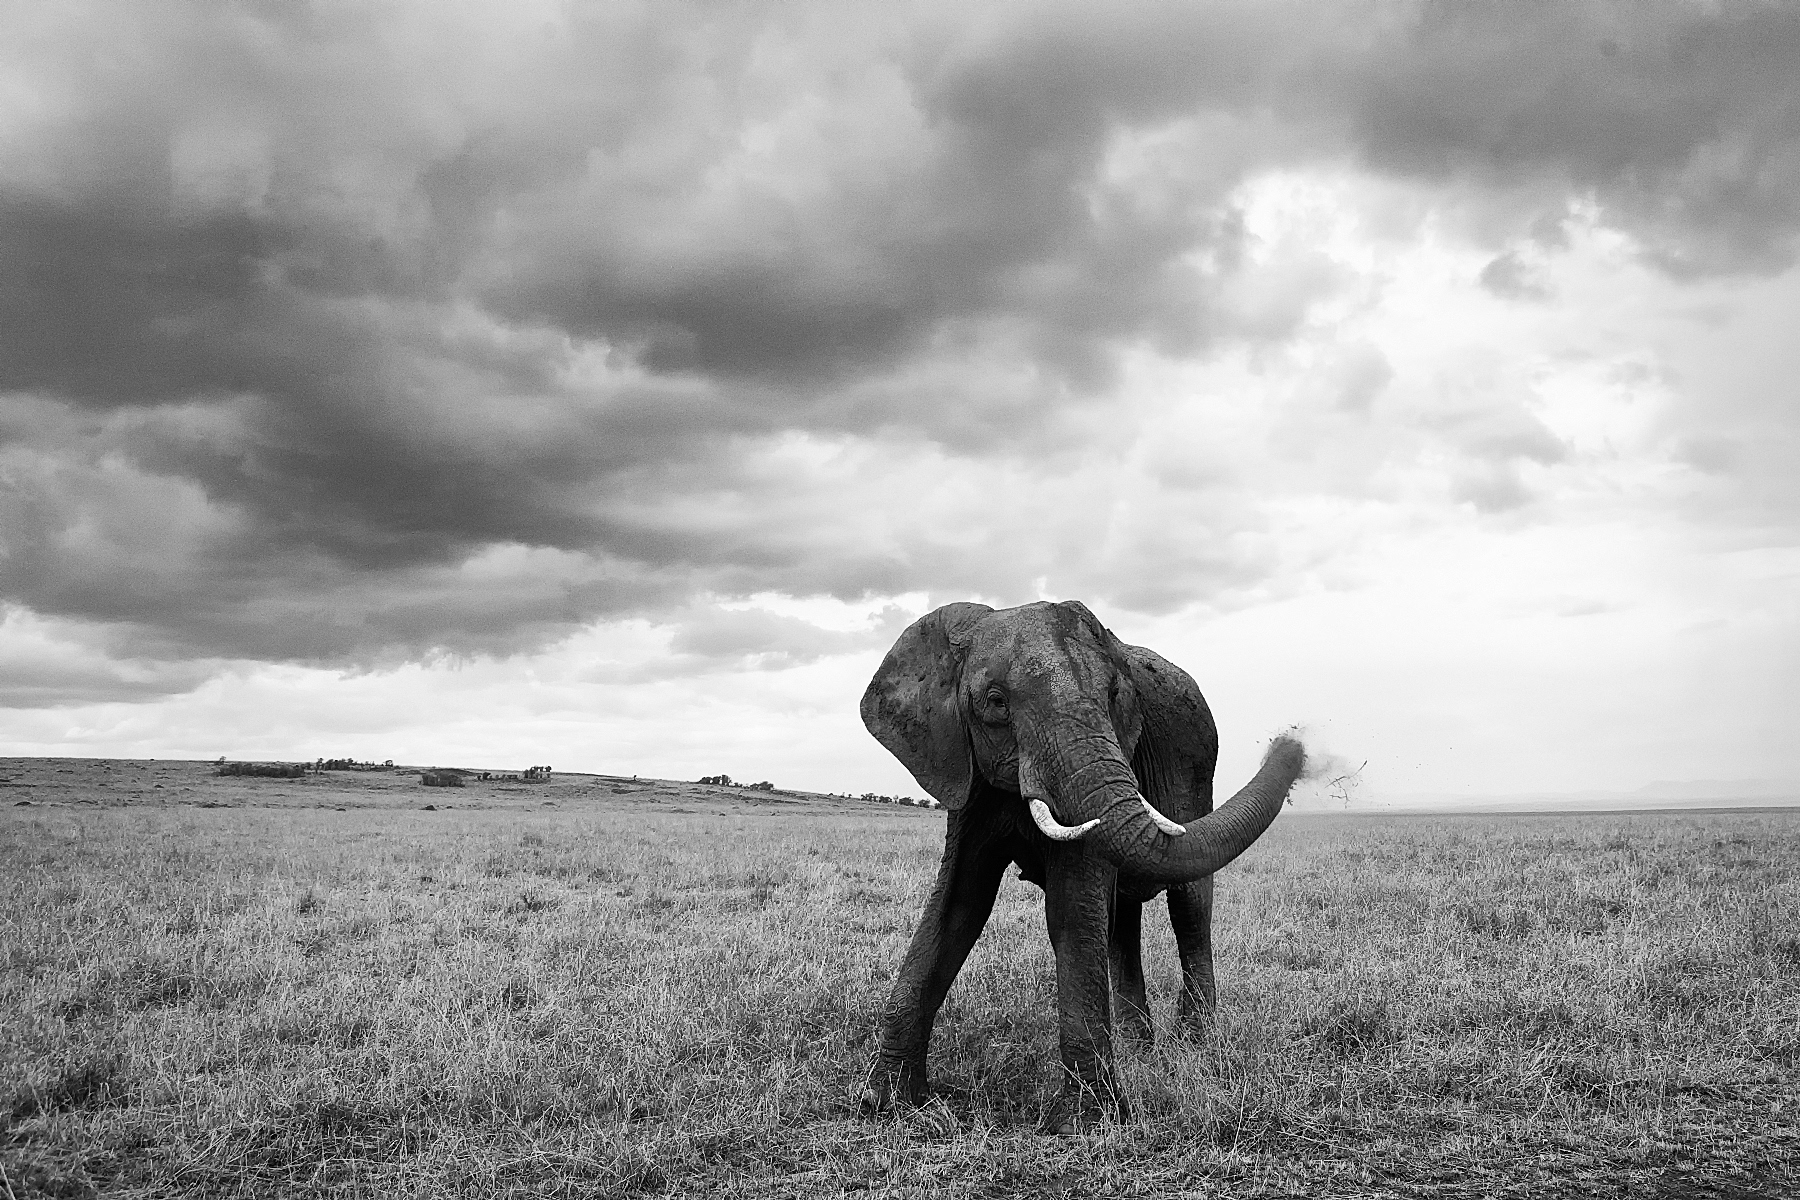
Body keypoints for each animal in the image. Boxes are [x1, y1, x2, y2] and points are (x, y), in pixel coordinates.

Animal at [858, 600, 1307, 1134]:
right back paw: (1139, 1050)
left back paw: (1196, 1046)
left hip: (1198, 763)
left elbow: (1072, 909)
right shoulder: (963, 769)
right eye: (995, 702)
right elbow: (958, 904)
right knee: (1122, 918)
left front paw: (1087, 1123)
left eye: (1114, 696)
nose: (1292, 745)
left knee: (1189, 904)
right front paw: (886, 1102)